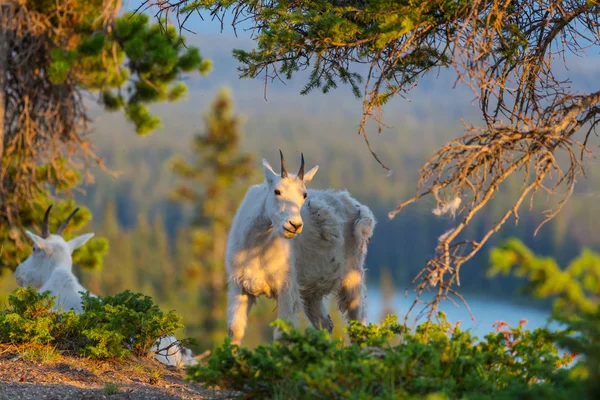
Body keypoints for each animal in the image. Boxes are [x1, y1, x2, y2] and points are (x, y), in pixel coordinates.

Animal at [225, 151, 376, 344]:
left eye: (304, 195)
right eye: (277, 191)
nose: (294, 225)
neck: (256, 247)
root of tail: (360, 209)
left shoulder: (286, 287)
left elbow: (281, 334)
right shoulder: (240, 285)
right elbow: (235, 330)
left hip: (353, 276)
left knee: (358, 324)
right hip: (312, 292)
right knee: (326, 324)